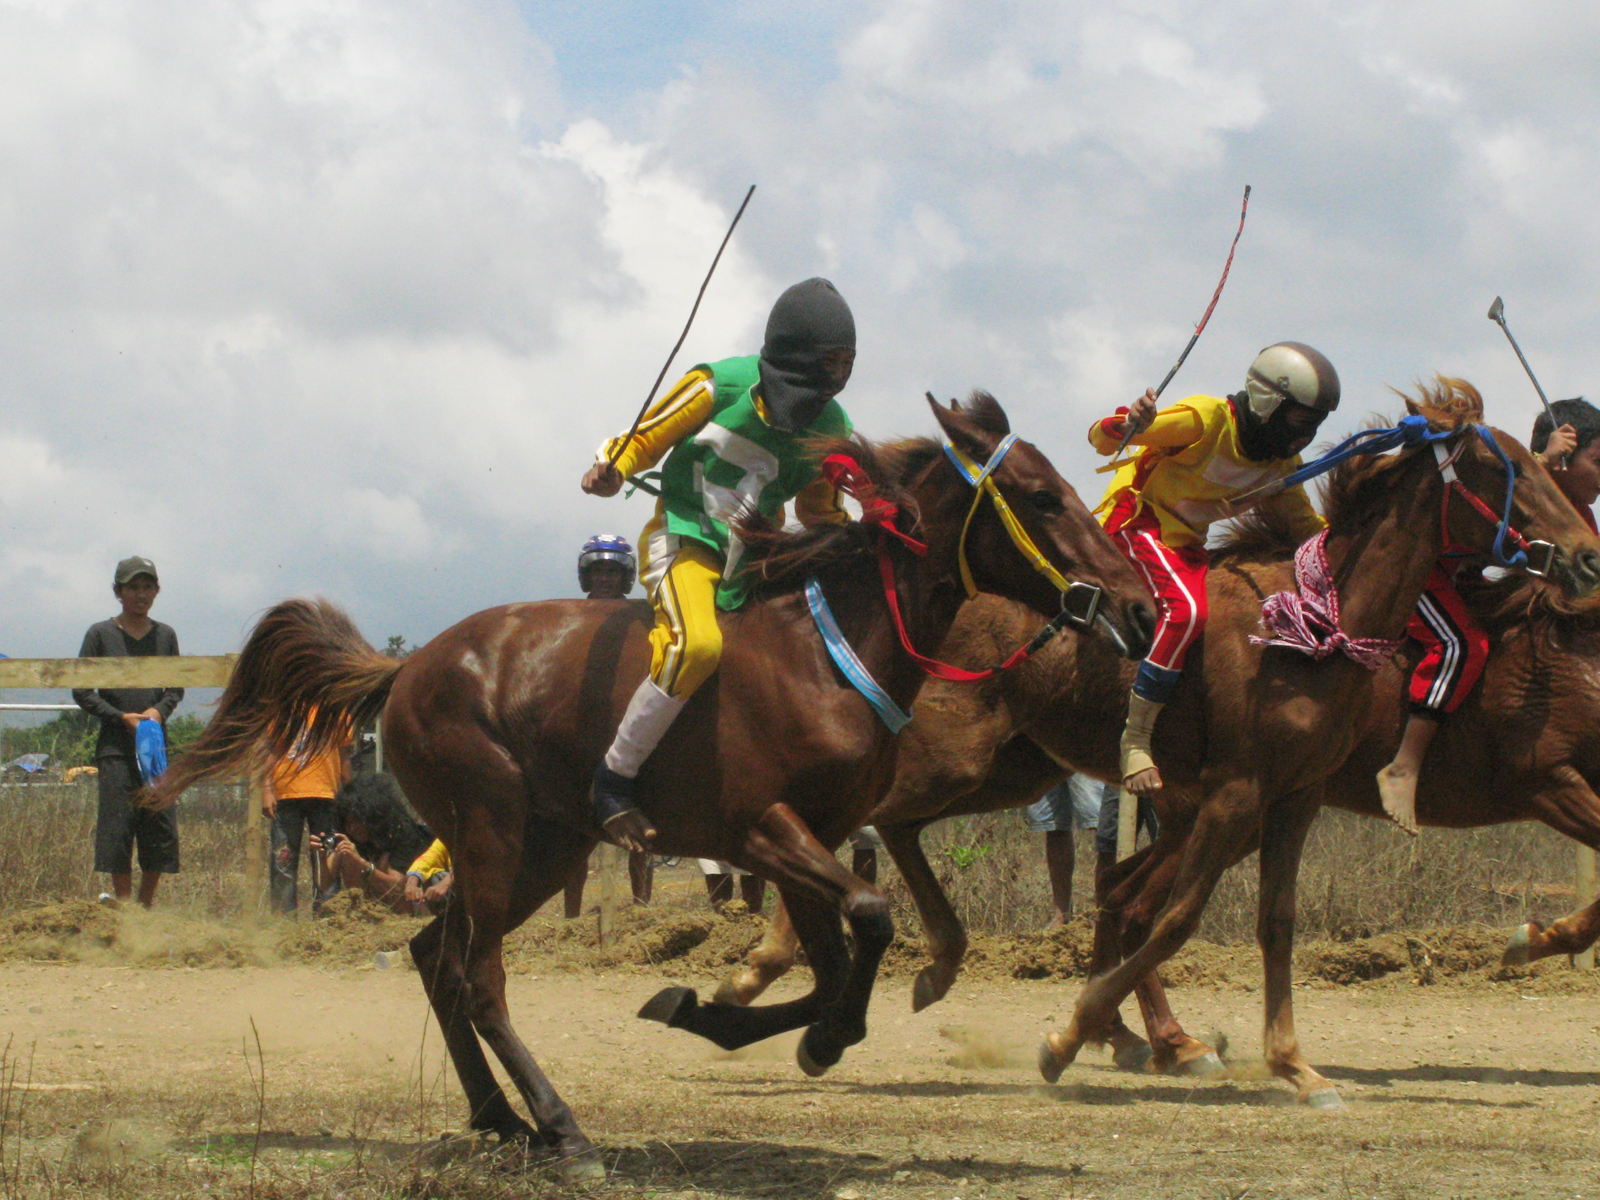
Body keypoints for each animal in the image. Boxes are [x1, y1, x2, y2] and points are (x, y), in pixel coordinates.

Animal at [152, 392, 1152, 1177]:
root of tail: (406, 668)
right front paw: (796, 1031)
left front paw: (731, 1016)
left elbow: (838, 965)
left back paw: (501, 1117)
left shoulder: (814, 840)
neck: (824, 652)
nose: (1139, 606)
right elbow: (866, 924)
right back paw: (562, 1129)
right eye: (1041, 497)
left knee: (436, 955)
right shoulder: (761, 829)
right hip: (493, 831)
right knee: (477, 977)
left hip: (544, 848)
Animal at [720, 385, 1600, 1107]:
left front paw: (1293, 1066)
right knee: (872, 821)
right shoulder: (1246, 792)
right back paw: (772, 971)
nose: (1587, 555)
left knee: (926, 835)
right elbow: (1175, 918)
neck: (1317, 625)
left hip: (1019, 769)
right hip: (960, 756)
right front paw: (1068, 1034)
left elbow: (1268, 921)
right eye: (1503, 468)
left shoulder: (1293, 797)